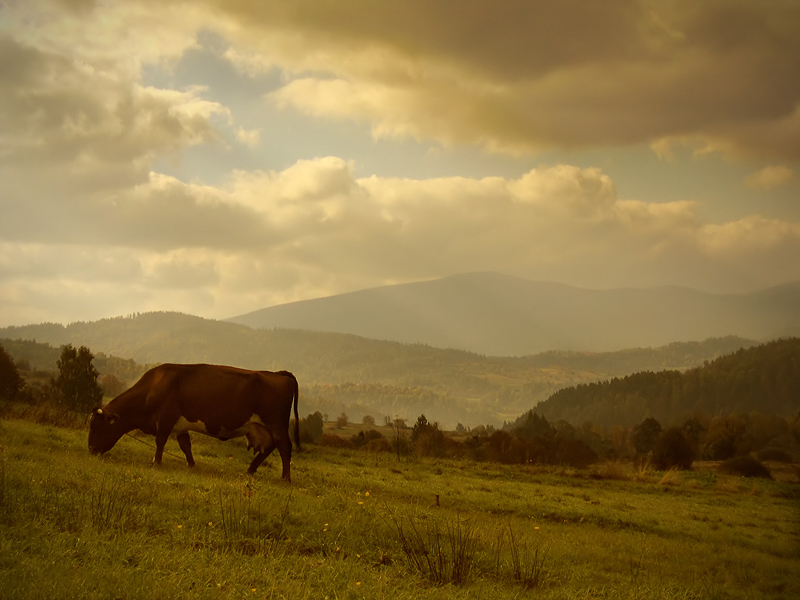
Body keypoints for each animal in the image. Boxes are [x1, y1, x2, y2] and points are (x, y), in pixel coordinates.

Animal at [87, 364, 300, 480]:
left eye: (96, 426)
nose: (90, 449)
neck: (153, 386)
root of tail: (278, 374)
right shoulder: (179, 425)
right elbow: (185, 446)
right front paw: (191, 465)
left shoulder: (166, 417)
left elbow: (160, 441)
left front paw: (156, 462)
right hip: (262, 427)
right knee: (269, 447)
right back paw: (250, 470)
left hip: (276, 423)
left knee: (284, 446)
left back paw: (285, 478)